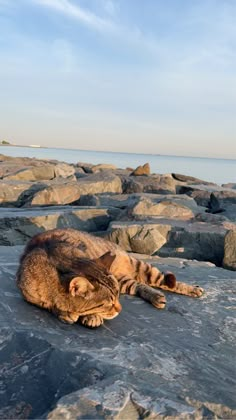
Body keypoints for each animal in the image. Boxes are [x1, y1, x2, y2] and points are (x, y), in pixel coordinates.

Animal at [17, 228, 203, 326]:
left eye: (118, 298)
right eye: (108, 303)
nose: (120, 309)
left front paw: (92, 316)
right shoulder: (29, 294)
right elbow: (49, 305)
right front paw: (64, 313)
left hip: (139, 267)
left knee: (163, 279)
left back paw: (193, 289)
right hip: (123, 281)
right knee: (139, 285)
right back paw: (156, 297)